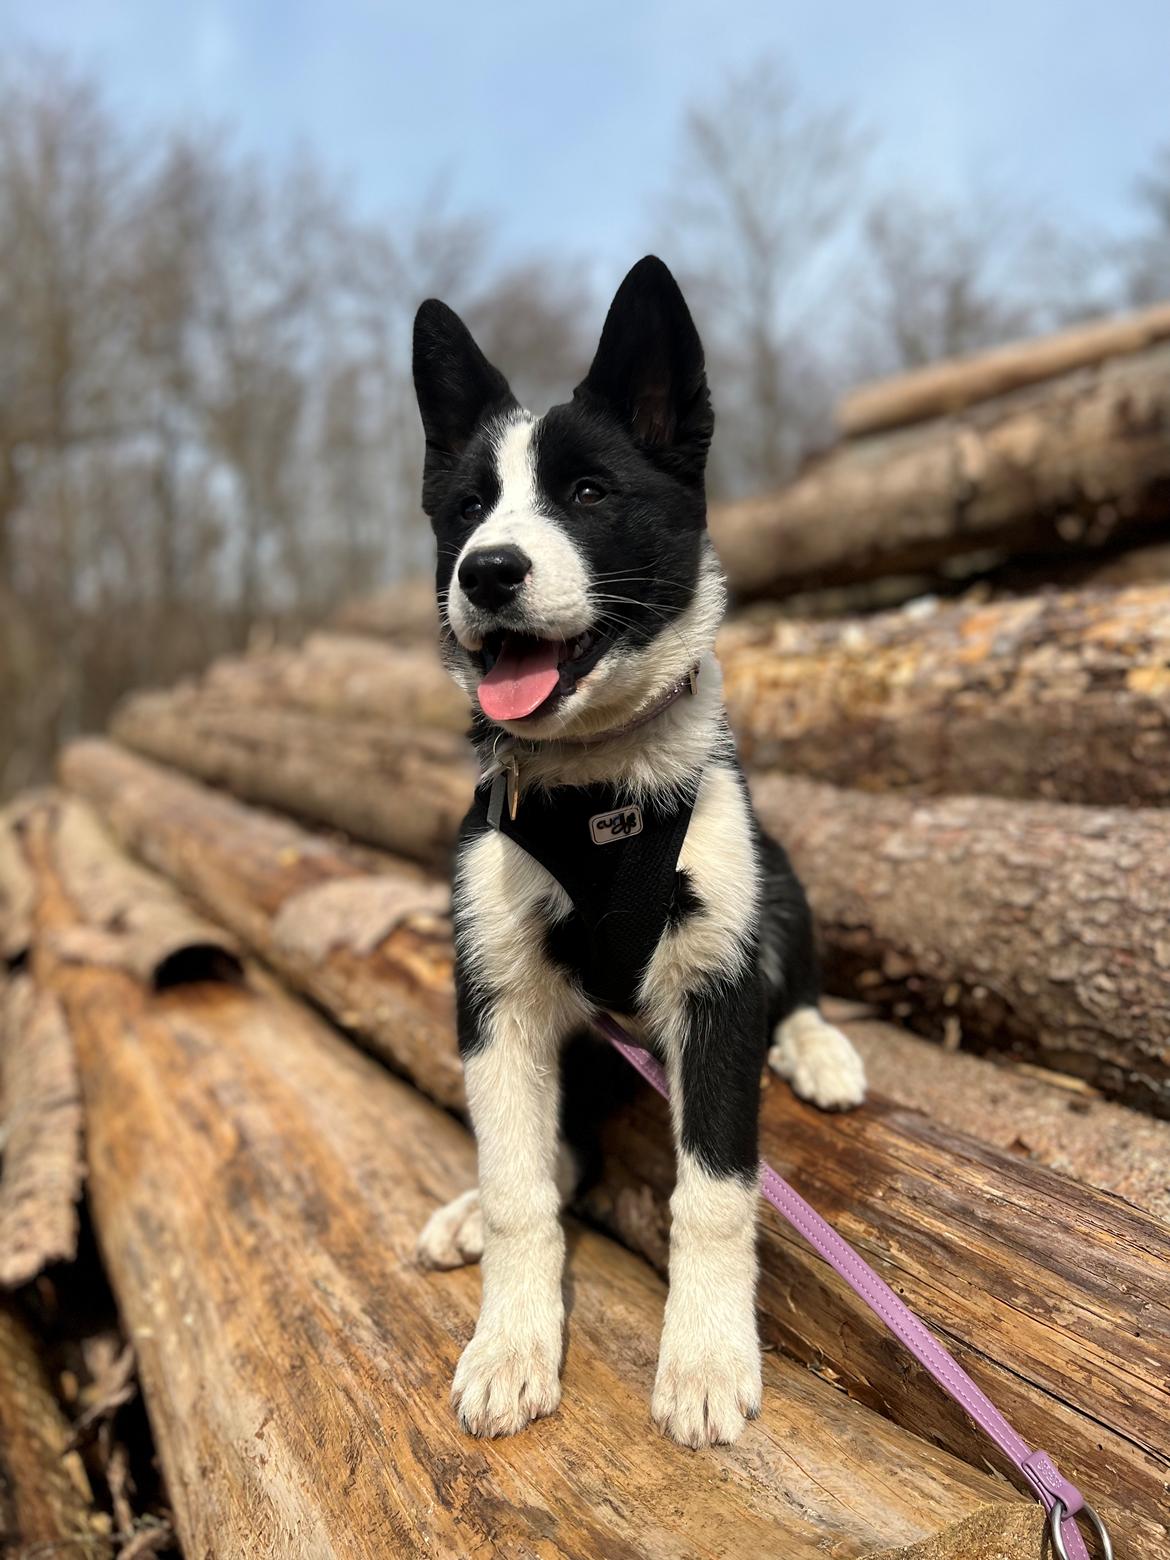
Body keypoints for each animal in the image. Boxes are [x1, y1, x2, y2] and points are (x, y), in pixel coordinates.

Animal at [414, 258, 873, 1447]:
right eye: (466, 507)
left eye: (588, 493)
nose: (486, 572)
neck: (596, 792)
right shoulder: (497, 1001)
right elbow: (523, 1185)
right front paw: (512, 1342)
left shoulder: (714, 990)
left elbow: (713, 1193)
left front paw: (706, 1356)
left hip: (781, 881)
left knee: (797, 984)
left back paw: (821, 1052)